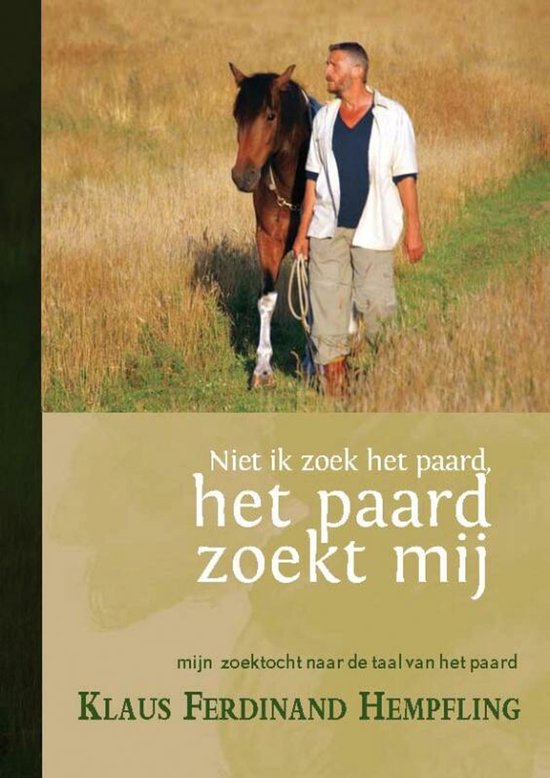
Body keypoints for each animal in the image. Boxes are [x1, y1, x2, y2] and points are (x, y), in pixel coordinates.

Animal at [229, 63, 316, 388]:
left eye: (270, 115)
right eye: (237, 115)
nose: (243, 176)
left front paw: (311, 362)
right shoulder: (267, 240)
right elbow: (267, 299)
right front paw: (262, 369)